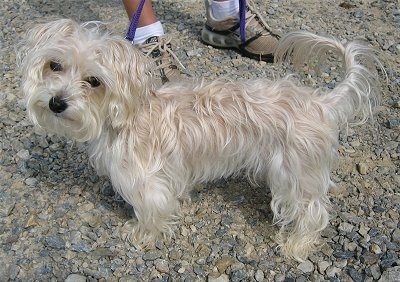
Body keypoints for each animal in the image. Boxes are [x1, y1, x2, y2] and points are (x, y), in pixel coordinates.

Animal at [17, 18, 382, 260]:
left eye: (94, 81)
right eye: (54, 65)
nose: (56, 102)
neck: (125, 115)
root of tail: (322, 103)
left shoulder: (148, 184)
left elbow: (151, 212)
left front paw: (141, 236)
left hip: (296, 176)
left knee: (313, 213)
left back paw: (297, 244)